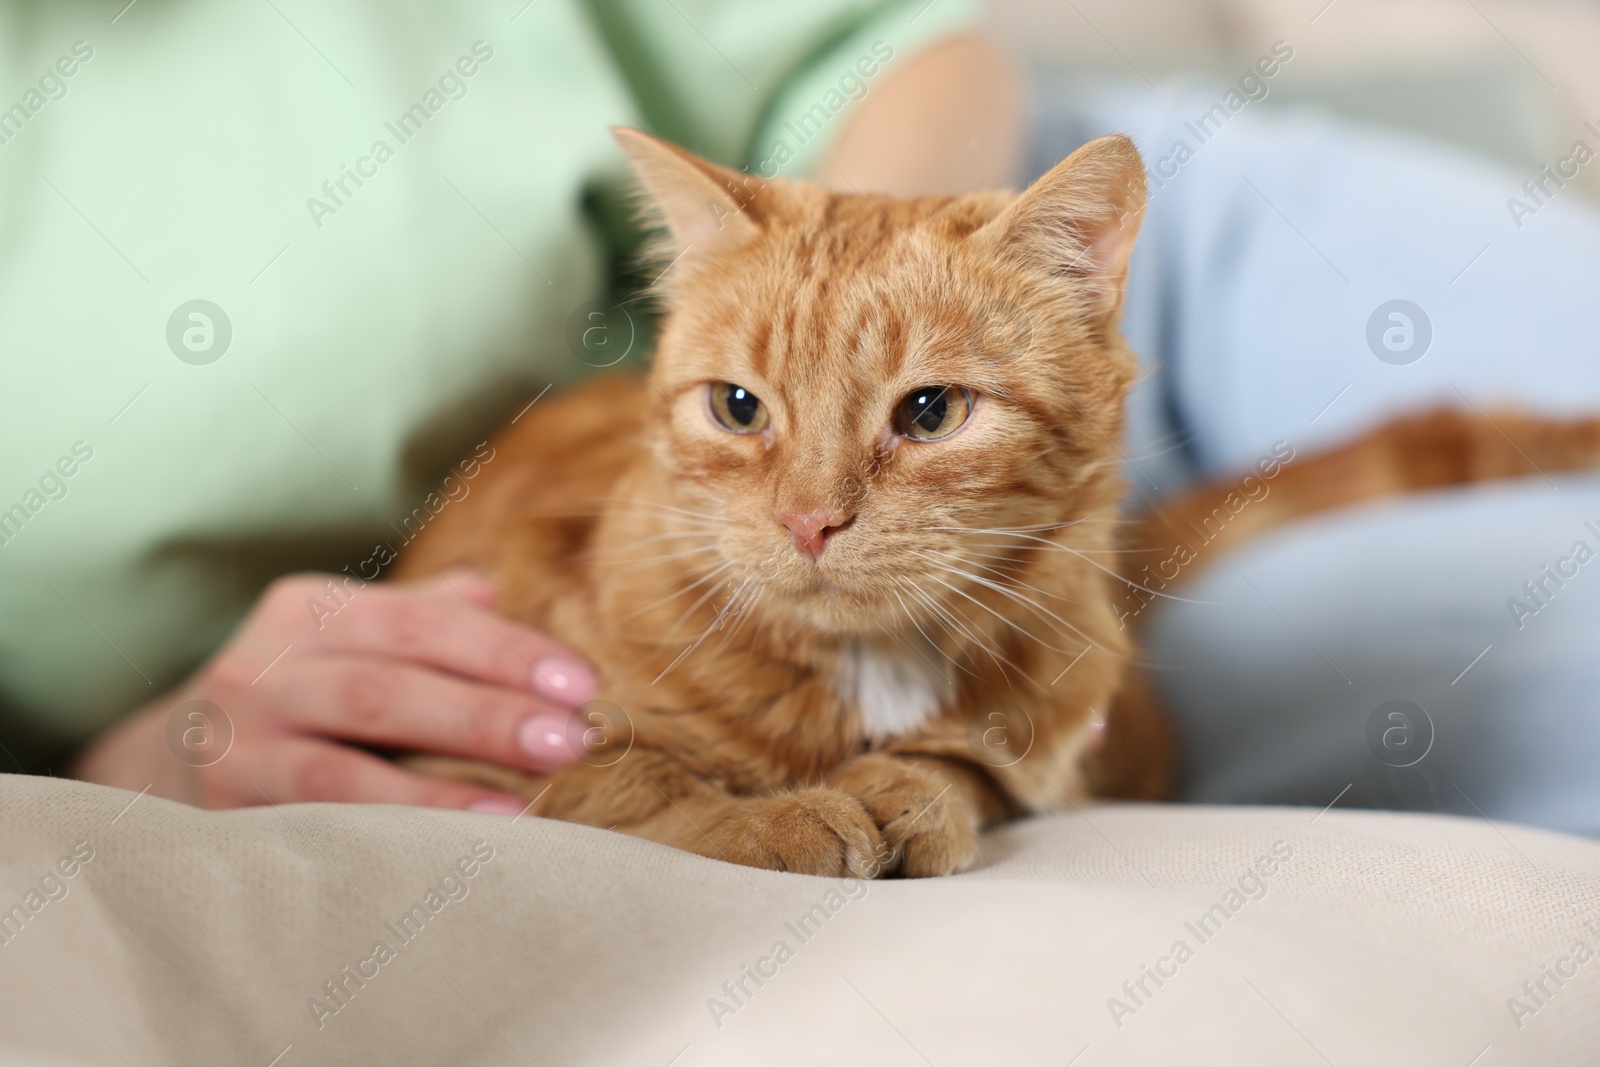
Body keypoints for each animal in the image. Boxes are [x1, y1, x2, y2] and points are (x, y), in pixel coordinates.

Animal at [388, 127, 1171, 876]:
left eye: (933, 412)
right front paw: (772, 818)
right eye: (737, 407)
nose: (808, 522)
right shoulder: (484, 754)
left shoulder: (1047, 754)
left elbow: (964, 769)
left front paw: (907, 790)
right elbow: (629, 779)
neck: (869, 669)